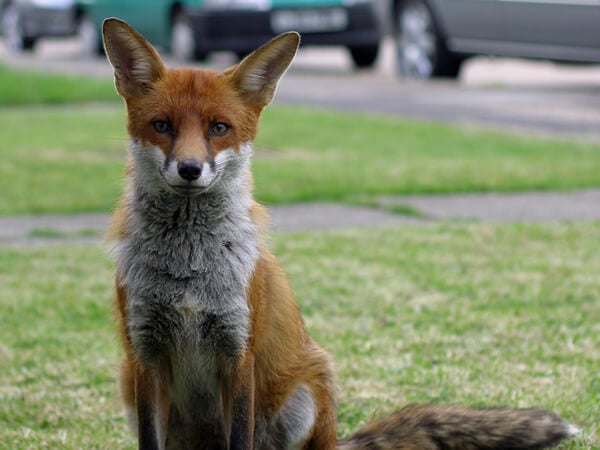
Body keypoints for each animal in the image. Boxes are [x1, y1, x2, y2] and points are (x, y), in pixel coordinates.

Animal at [102, 17, 576, 450]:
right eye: (162, 125)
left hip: (308, 391)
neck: (188, 272)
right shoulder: (145, 355)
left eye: (219, 128)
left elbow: (240, 433)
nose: (189, 169)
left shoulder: (238, 352)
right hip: (128, 382)